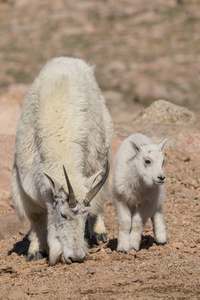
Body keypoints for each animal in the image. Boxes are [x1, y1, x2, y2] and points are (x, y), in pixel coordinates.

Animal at [10, 56, 113, 264]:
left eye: (84, 217)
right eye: (63, 215)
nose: (76, 257)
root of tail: (71, 59)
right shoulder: (24, 183)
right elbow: (36, 216)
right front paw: (35, 251)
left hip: (100, 154)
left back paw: (99, 233)